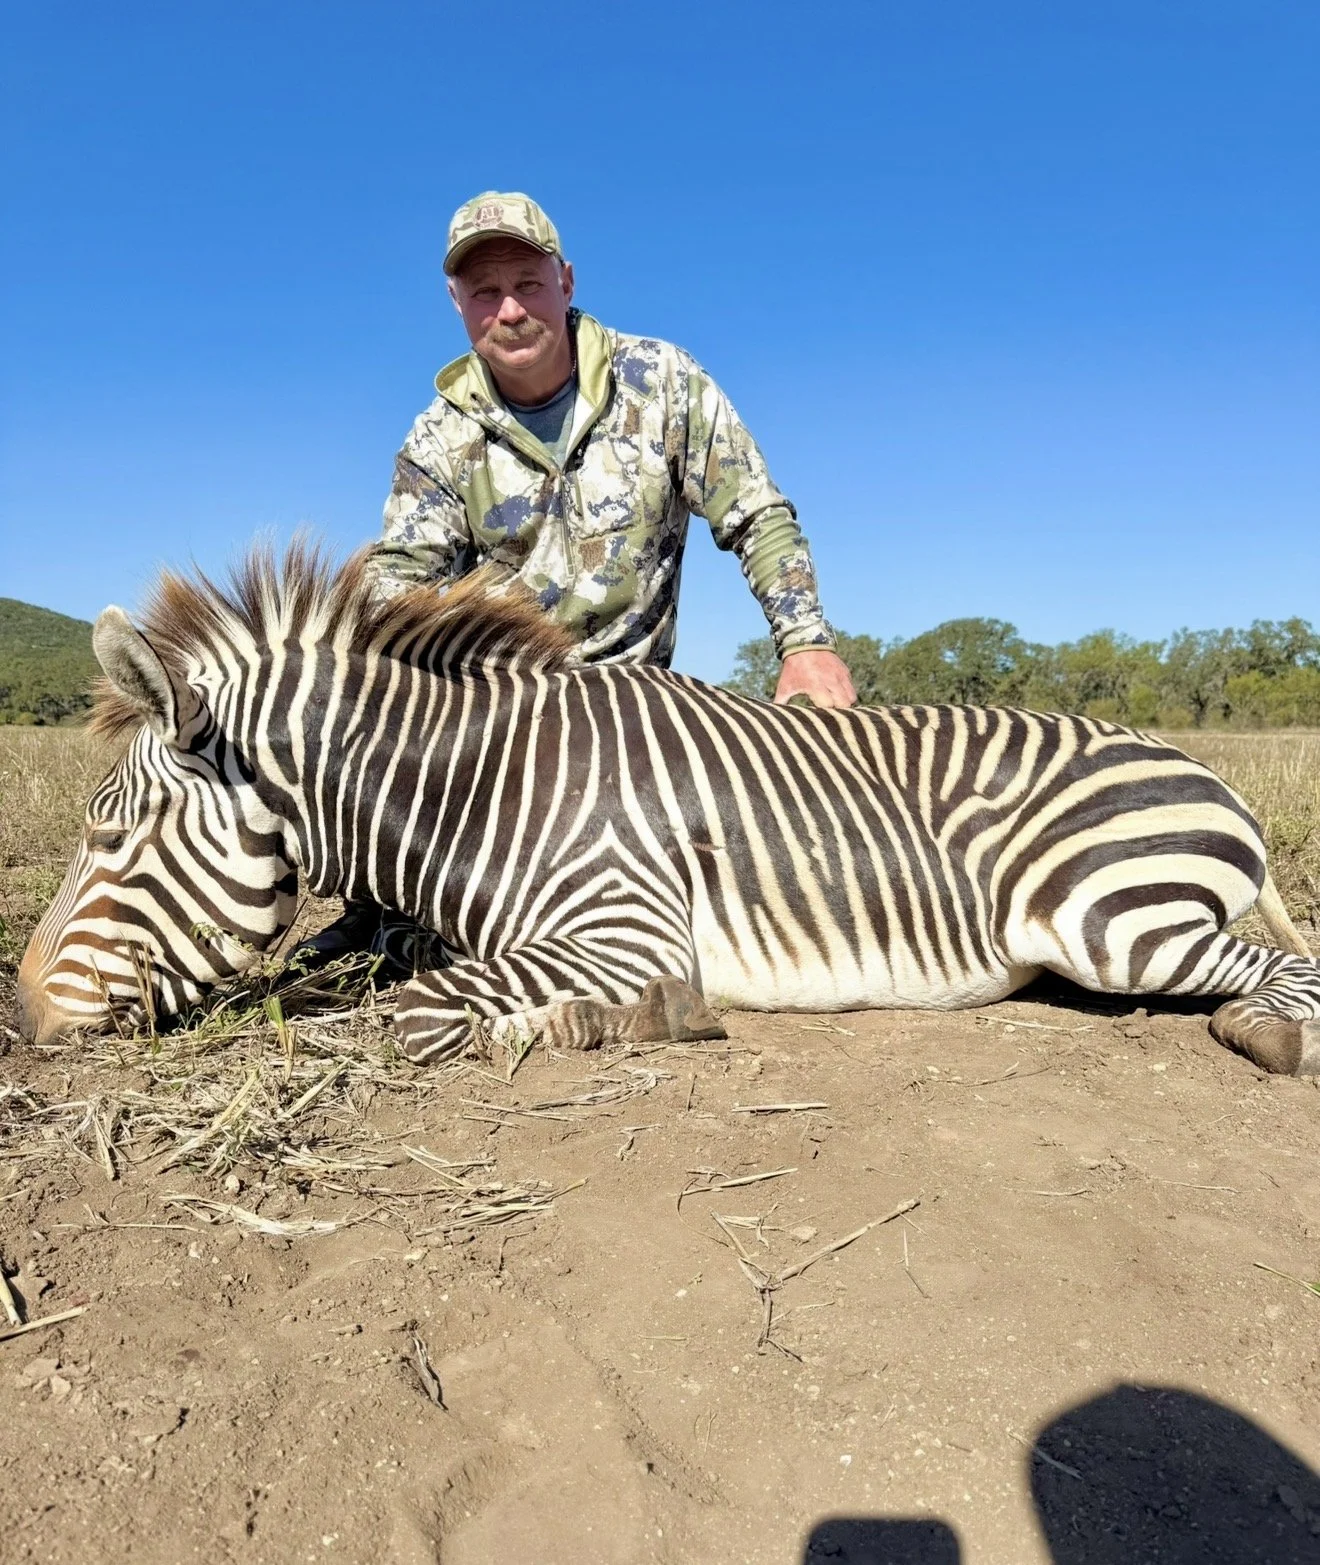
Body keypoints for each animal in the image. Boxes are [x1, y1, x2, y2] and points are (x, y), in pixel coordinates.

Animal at [16, 543, 1320, 1078]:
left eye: (109, 830)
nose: (20, 1014)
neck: (478, 790)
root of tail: (1200, 766)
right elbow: (365, 978)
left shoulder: (626, 923)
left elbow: (413, 1013)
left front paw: (614, 1022)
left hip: (1104, 913)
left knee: (1279, 971)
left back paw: (1265, 1034)